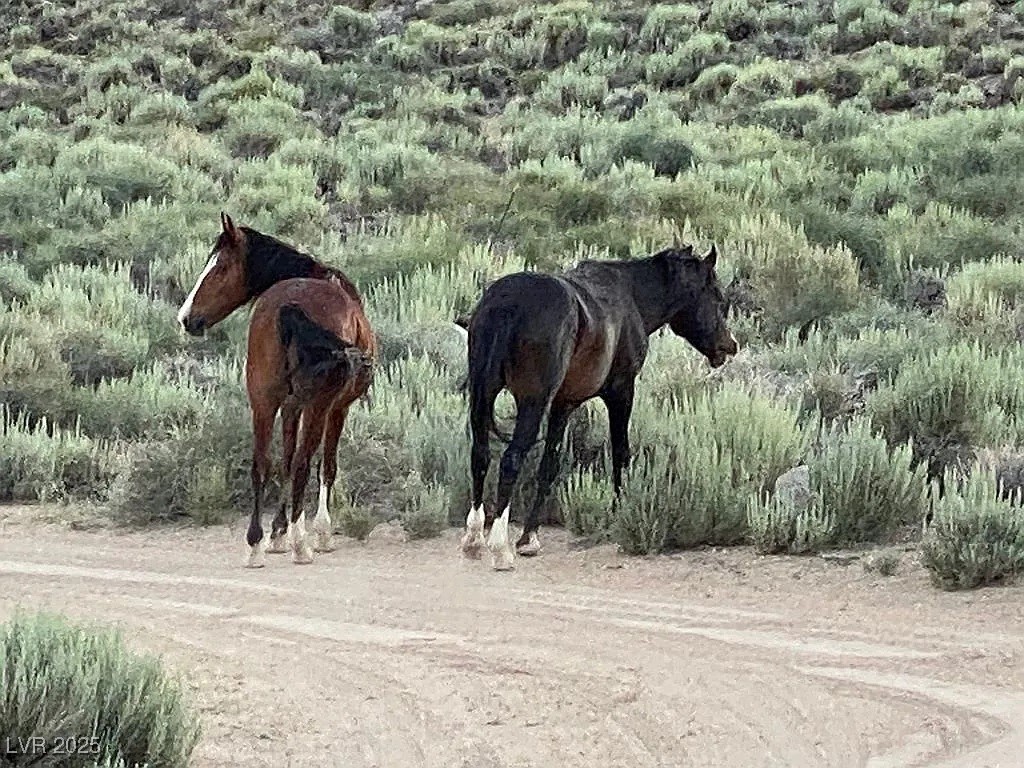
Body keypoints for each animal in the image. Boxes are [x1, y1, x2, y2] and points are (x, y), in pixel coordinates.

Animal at [176, 213, 375, 568]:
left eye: (220, 267)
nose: (186, 319)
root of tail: (290, 306)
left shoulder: (289, 406)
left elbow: (283, 460)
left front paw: (277, 532)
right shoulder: (337, 408)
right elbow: (324, 466)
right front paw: (318, 532)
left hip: (263, 400)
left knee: (261, 464)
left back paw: (255, 544)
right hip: (317, 405)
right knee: (304, 464)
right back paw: (301, 544)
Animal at [458, 244, 738, 571]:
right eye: (717, 297)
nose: (730, 345)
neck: (630, 295)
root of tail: (507, 302)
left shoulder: (563, 404)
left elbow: (549, 465)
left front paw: (529, 538)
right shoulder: (621, 391)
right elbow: (620, 453)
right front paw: (621, 511)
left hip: (483, 394)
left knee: (480, 455)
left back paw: (473, 539)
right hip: (532, 401)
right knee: (511, 459)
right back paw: (500, 549)